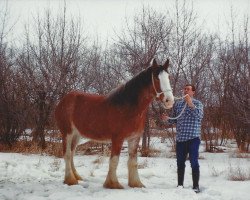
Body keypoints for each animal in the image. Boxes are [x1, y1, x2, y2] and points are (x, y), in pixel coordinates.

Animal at [55, 58, 174, 189]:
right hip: (67, 133)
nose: (169, 100)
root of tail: (64, 100)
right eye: (157, 78)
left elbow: (133, 161)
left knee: (72, 153)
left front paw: (136, 183)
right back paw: (70, 180)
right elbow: (114, 160)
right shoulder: (118, 138)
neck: (129, 108)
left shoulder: (134, 138)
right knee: (66, 154)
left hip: (77, 135)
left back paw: (76, 177)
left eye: (168, 77)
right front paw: (113, 184)